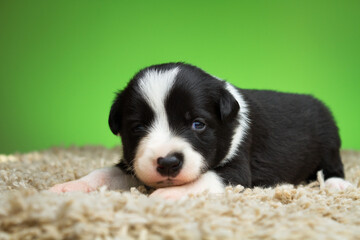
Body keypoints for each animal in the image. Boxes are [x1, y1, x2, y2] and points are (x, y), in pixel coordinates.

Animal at [50, 62, 352, 199]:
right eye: (138, 127)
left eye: (198, 124)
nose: (167, 163)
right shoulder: (133, 162)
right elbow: (103, 173)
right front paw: (68, 187)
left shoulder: (236, 171)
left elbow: (203, 179)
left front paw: (162, 197)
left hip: (329, 142)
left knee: (333, 166)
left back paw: (337, 184)